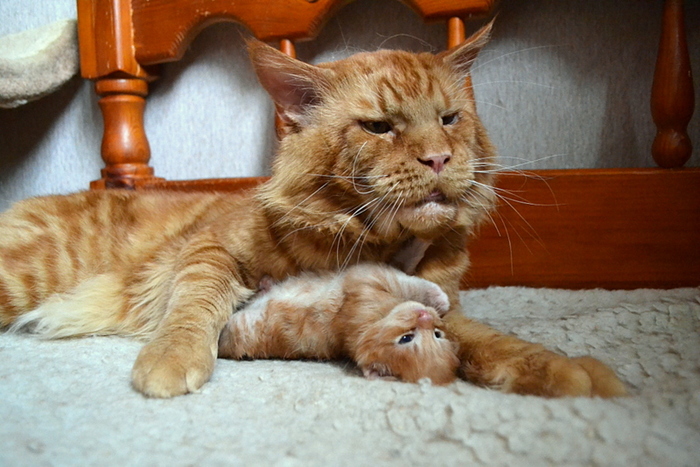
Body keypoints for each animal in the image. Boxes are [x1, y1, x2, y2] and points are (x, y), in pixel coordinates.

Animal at [219, 266, 460, 386]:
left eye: (437, 334)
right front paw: (439, 298)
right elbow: (406, 281)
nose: (426, 317)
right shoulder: (367, 277)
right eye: (407, 338)